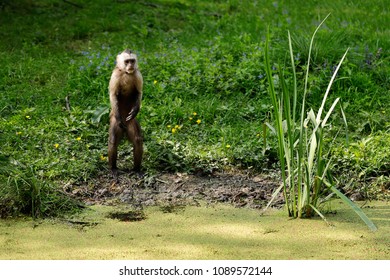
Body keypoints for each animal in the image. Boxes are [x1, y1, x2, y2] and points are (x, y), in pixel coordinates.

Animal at [107, 49, 142, 180]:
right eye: (127, 61)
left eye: (132, 61)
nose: (131, 65)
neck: (126, 73)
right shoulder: (116, 75)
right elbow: (113, 94)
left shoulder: (137, 73)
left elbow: (139, 92)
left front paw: (136, 110)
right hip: (117, 123)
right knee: (113, 141)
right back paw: (113, 168)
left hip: (130, 122)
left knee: (137, 140)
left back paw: (136, 169)